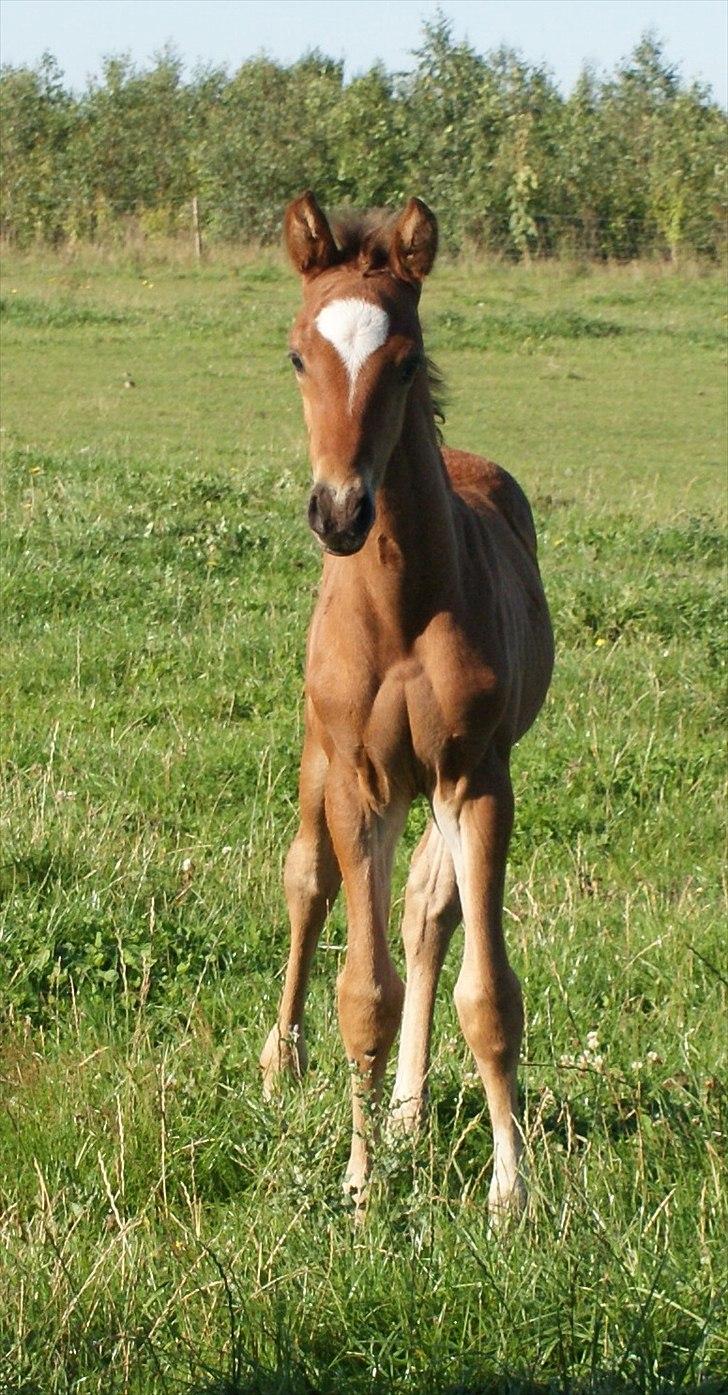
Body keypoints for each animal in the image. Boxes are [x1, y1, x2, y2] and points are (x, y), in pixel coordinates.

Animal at [260, 191, 549, 1216]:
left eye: (408, 359)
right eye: (297, 353)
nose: (341, 511)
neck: (402, 606)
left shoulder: (476, 775)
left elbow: (486, 994)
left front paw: (509, 1190)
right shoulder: (364, 781)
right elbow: (363, 992)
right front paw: (355, 1188)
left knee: (429, 911)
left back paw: (409, 1113)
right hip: (316, 751)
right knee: (306, 879)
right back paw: (281, 1064)